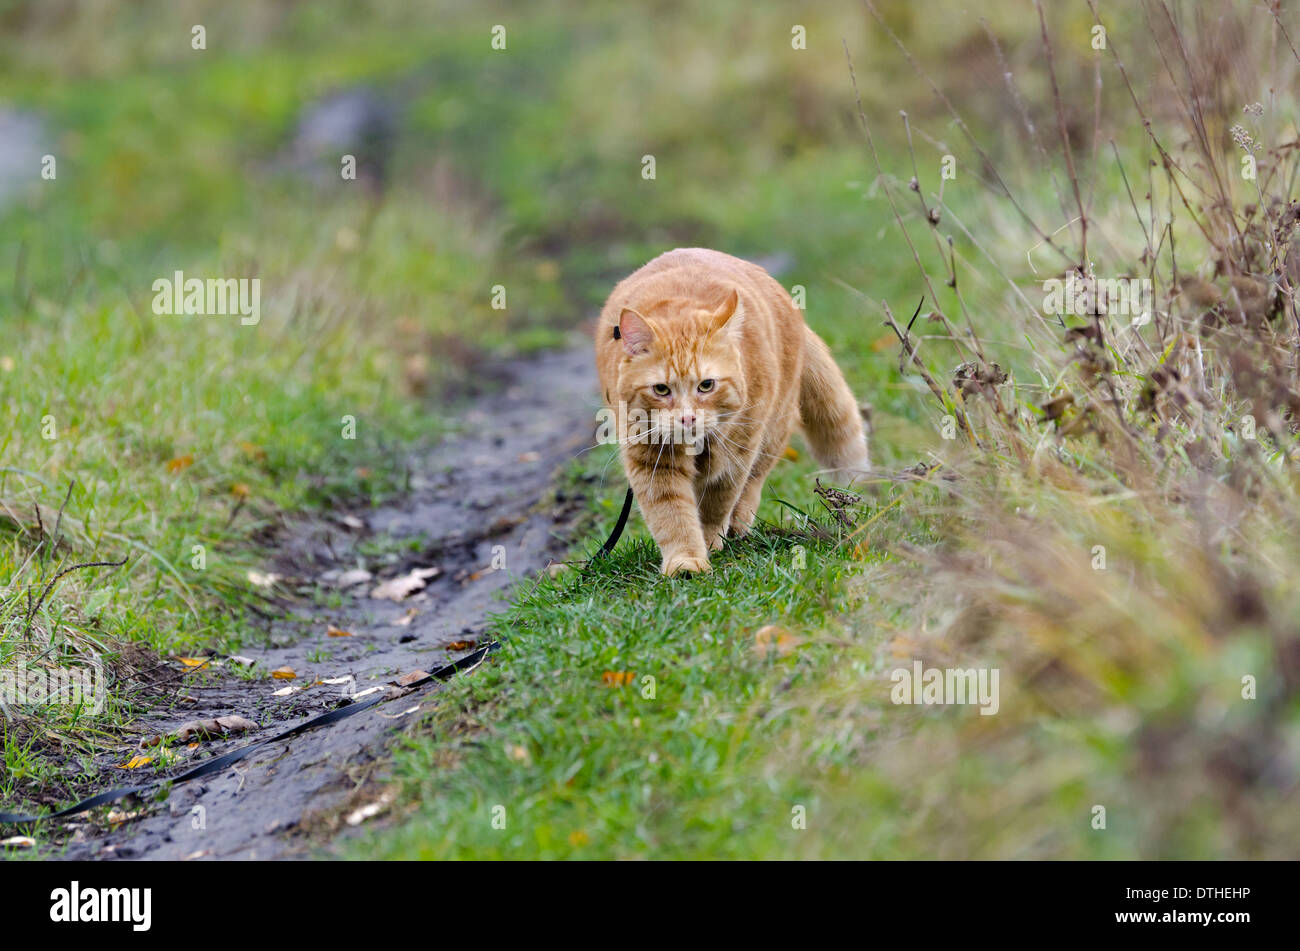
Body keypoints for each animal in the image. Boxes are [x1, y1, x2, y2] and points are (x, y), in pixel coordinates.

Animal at [595, 249, 863, 576]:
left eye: (706, 385)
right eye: (661, 390)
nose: (687, 418)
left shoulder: (735, 455)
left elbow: (716, 504)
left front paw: (711, 542)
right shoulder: (650, 457)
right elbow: (671, 514)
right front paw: (685, 561)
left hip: (770, 432)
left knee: (753, 482)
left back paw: (738, 524)